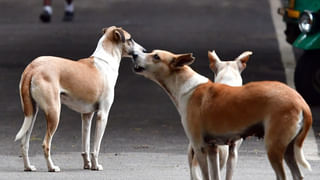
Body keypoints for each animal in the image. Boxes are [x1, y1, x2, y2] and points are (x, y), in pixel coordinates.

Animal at [14, 25, 145, 172]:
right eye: (130, 39)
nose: (144, 51)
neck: (106, 60)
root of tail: (33, 67)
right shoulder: (102, 115)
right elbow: (95, 148)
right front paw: (95, 166)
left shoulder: (87, 115)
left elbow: (85, 145)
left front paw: (87, 165)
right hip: (54, 113)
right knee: (45, 144)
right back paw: (52, 167)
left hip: (32, 114)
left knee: (24, 143)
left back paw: (28, 167)